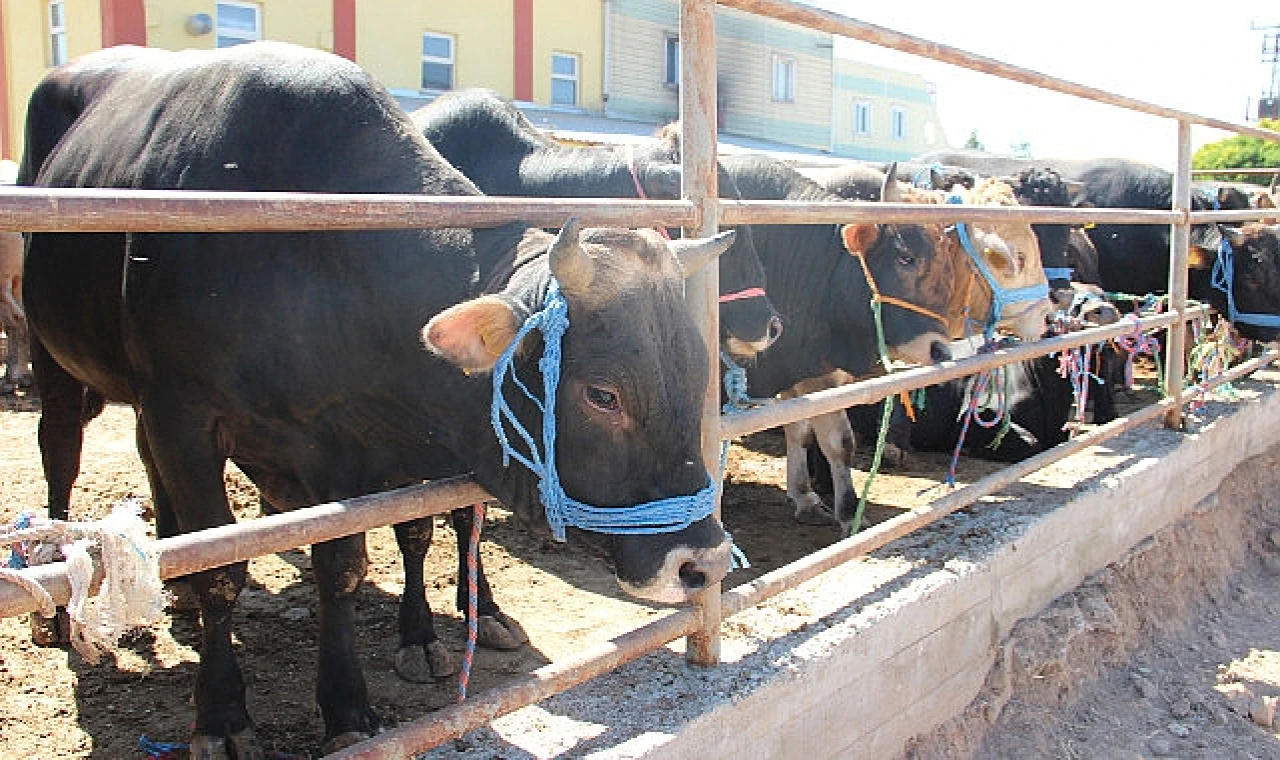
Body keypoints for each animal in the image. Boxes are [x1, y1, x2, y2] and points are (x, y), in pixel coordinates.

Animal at [20, 44, 737, 752]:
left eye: (697, 371)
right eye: (603, 394)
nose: (703, 562)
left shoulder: (350, 446)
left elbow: (348, 563)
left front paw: (349, 702)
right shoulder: (185, 415)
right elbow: (220, 566)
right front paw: (223, 716)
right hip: (53, 353)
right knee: (61, 450)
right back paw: (60, 601)